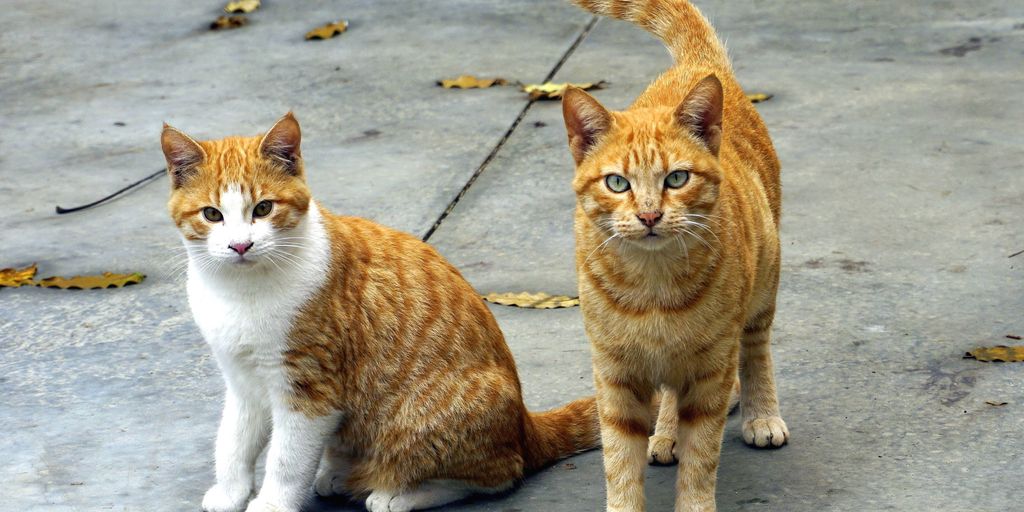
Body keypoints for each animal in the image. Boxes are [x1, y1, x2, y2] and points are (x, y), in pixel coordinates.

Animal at [159, 113, 598, 512]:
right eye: (212, 214)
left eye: (264, 209)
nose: (240, 246)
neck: (241, 291)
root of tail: (525, 424)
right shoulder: (243, 381)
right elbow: (233, 443)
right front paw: (231, 492)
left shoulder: (309, 392)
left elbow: (286, 462)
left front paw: (271, 504)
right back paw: (341, 475)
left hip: (424, 423)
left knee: (499, 474)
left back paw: (398, 495)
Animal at [561, 1, 790, 512]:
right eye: (617, 183)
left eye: (677, 178)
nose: (649, 215)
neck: (652, 284)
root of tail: (696, 66)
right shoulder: (615, 377)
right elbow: (620, 465)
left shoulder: (710, 370)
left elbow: (701, 458)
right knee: (668, 394)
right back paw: (664, 433)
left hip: (764, 281)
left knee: (756, 347)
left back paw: (760, 413)